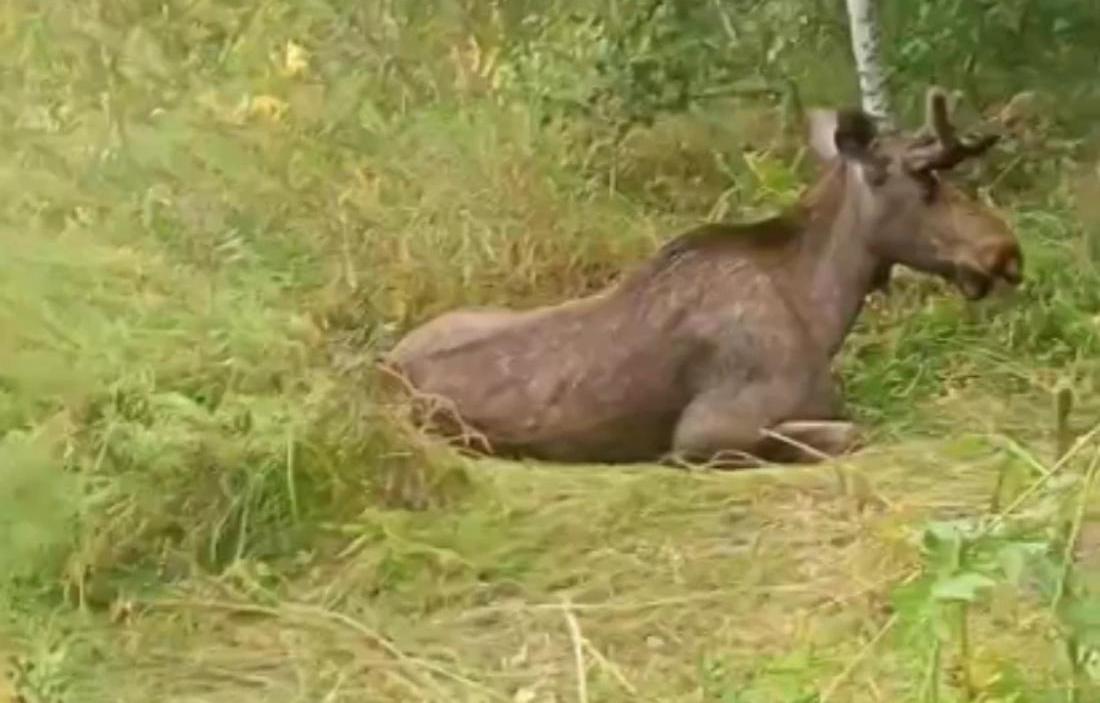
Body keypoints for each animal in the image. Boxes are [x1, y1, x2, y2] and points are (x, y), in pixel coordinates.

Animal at [385, 90, 1020, 470]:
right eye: (927, 181)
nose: (1006, 251)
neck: (821, 309)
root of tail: (385, 367)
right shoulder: (703, 431)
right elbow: (851, 432)